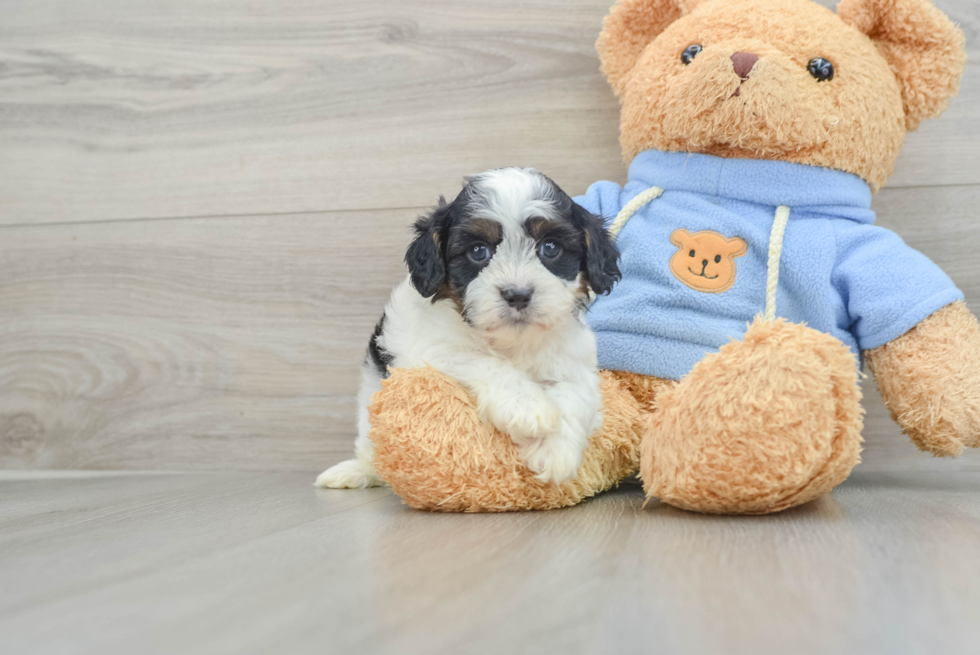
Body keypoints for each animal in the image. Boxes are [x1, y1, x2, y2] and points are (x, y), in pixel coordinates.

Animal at [314, 167, 620, 490]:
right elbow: (481, 361)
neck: (511, 341)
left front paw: (555, 450)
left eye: (550, 248)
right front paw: (526, 407)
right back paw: (356, 471)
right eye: (478, 251)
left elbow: (573, 392)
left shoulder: (574, 359)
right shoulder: (434, 351)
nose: (518, 294)